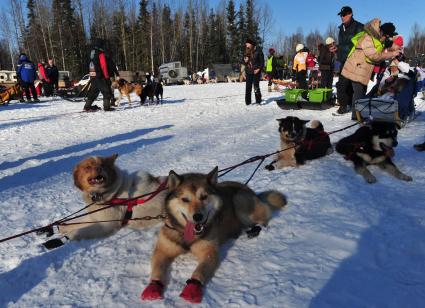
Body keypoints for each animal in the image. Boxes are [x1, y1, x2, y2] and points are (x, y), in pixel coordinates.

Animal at [141, 166, 286, 304]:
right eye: (185, 199)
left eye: (204, 197)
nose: (198, 216)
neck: (185, 233)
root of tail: (249, 190)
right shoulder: (162, 251)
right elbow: (157, 269)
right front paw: (153, 287)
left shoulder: (209, 252)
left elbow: (199, 271)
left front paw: (192, 289)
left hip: (239, 200)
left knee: (262, 221)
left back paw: (252, 230)